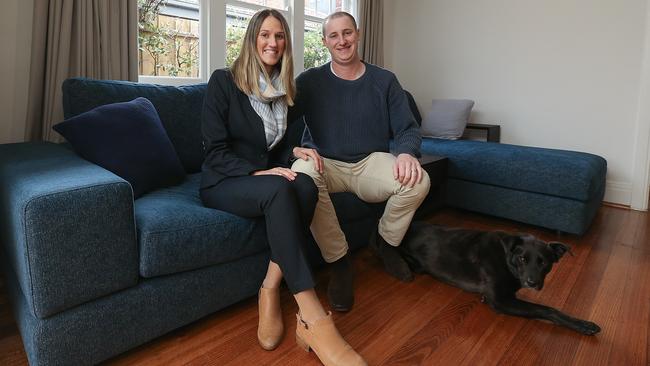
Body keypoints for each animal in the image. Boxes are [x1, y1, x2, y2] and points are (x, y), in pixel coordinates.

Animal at [390, 222, 596, 336]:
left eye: (544, 263)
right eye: (523, 259)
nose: (532, 283)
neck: (506, 258)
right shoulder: (500, 300)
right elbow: (546, 309)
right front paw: (583, 325)